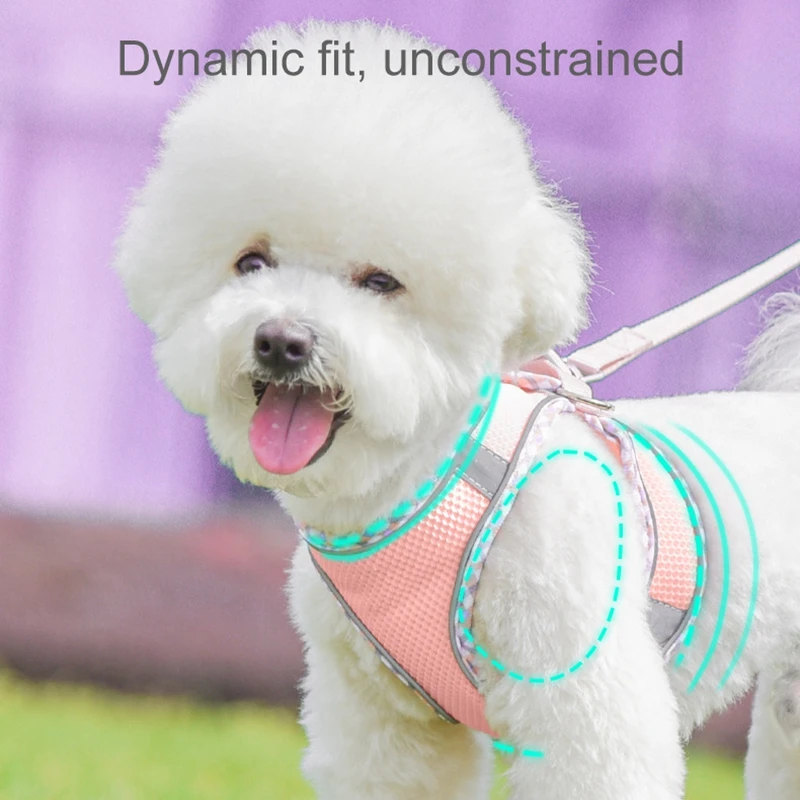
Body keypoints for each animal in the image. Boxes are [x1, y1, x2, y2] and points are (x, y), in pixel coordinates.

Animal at [114, 20, 800, 800]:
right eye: (251, 263)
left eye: (382, 281)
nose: (283, 341)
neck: (425, 486)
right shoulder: (384, 725)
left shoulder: (583, 707)